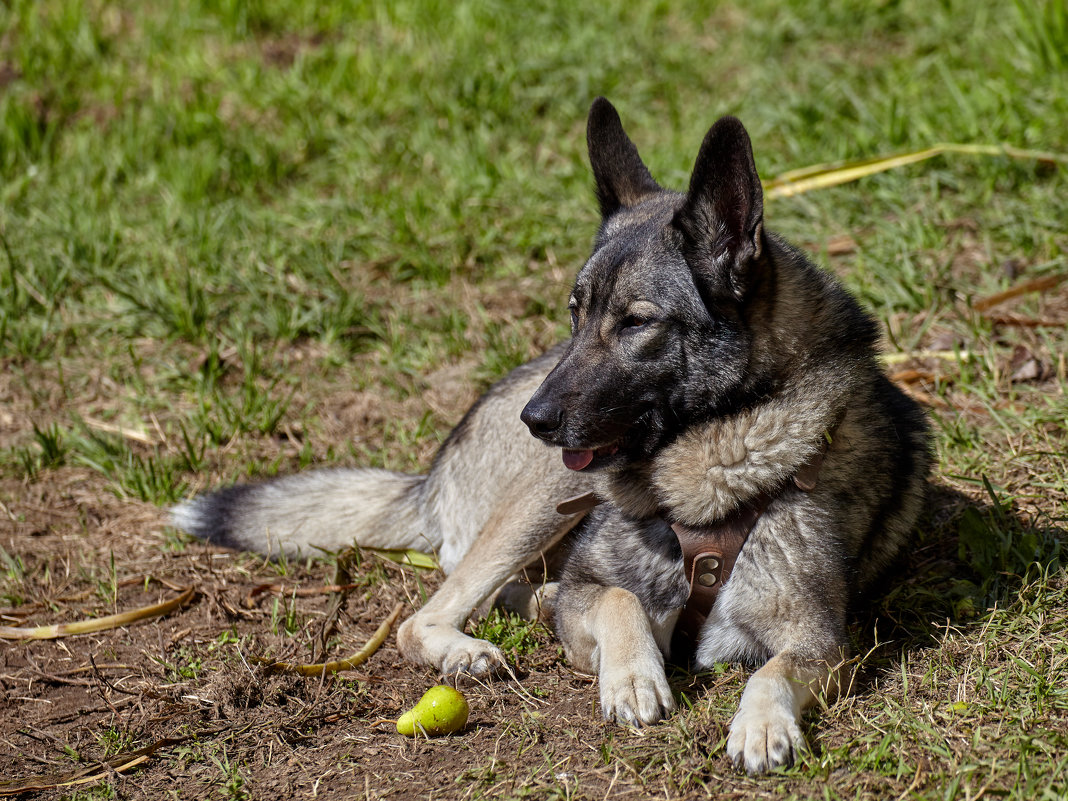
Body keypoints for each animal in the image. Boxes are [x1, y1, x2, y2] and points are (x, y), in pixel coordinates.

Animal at [170, 97, 931, 773]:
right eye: (575, 312)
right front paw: (633, 676)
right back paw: (471, 644)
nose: (533, 420)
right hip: (548, 493)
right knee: (430, 610)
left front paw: (762, 724)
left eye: (636, 323)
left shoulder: (821, 641)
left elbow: (771, 669)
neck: (710, 458)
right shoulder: (606, 581)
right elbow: (620, 599)